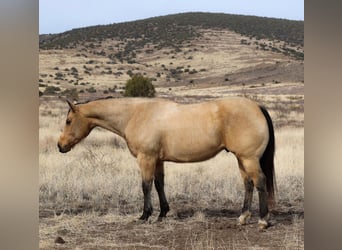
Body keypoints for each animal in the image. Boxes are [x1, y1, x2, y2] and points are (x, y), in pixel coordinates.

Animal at [56, 96, 276, 229]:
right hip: (241, 159)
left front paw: (145, 215)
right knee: (248, 184)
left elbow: (145, 186)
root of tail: (257, 106)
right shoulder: (158, 160)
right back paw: (243, 217)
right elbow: (159, 184)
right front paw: (162, 213)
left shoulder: (146, 158)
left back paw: (262, 220)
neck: (135, 114)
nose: (60, 146)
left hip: (249, 159)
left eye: (68, 121)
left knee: (260, 182)